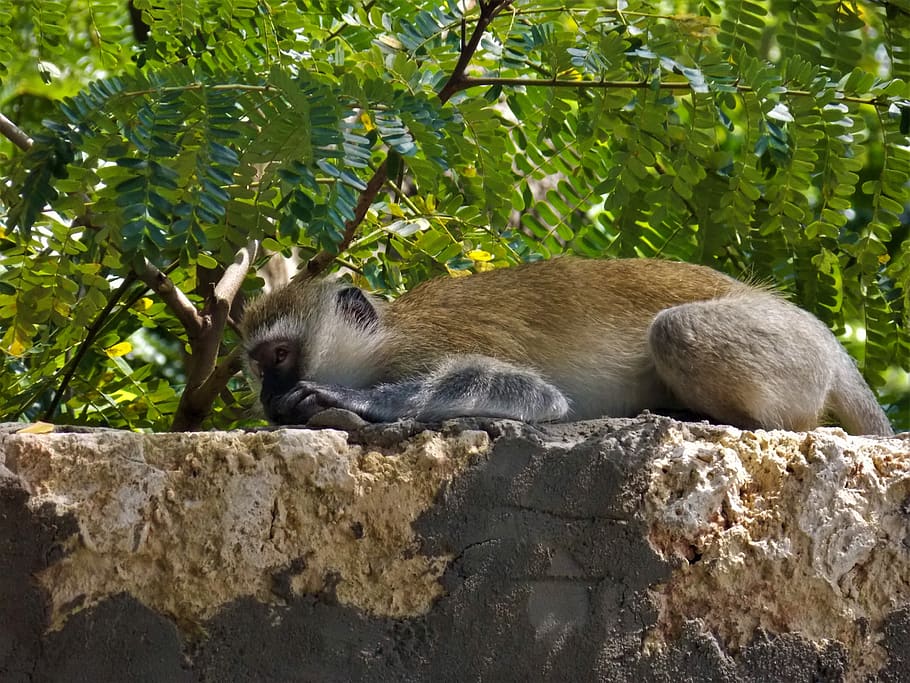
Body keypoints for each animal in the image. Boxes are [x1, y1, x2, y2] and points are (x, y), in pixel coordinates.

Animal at [240, 257, 894, 436]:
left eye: (280, 357)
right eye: (258, 367)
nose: (270, 395)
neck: (383, 338)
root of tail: (824, 337)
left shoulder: (426, 346)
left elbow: (533, 394)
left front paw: (351, 400)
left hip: (787, 347)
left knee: (676, 330)